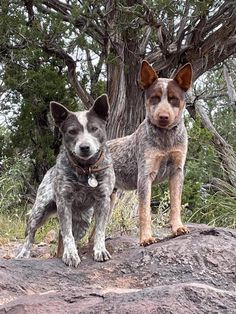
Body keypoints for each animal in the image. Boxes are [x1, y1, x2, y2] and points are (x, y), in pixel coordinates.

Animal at [16, 94, 115, 266]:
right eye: (72, 131)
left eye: (94, 129)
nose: (84, 147)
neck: (86, 169)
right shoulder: (63, 201)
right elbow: (67, 233)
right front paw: (70, 255)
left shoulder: (103, 200)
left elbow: (100, 231)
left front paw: (100, 250)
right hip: (40, 209)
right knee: (31, 231)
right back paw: (24, 253)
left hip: (83, 221)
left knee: (66, 236)